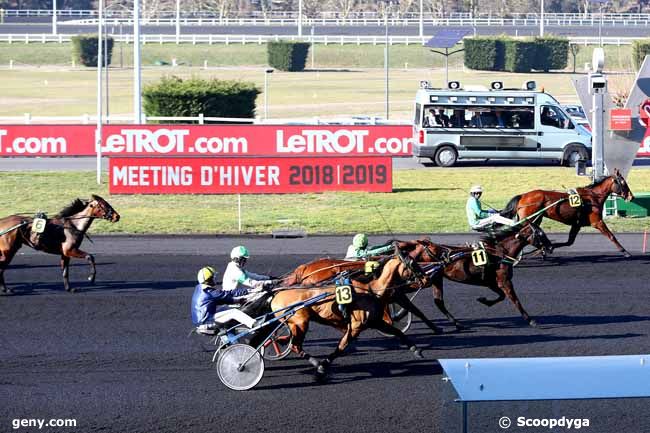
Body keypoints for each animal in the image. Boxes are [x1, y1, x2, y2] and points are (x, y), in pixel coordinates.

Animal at [270, 253, 430, 378]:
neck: (372, 291)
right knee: (295, 345)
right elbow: (341, 346)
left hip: (295, 323)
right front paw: (323, 365)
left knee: (293, 342)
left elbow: (398, 332)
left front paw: (416, 350)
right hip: (300, 321)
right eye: (413, 264)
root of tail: (276, 295)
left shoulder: (376, 322)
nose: (426, 279)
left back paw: (283, 340)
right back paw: (314, 361)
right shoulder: (356, 326)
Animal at [410, 221, 552, 326]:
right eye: (540, 233)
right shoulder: (504, 281)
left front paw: (484, 301)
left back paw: (457, 323)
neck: (499, 254)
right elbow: (515, 300)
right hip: (427, 278)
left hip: (436, 278)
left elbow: (501, 296)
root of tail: (424, 247)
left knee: (438, 301)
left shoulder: (491, 282)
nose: (550, 247)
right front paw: (530, 319)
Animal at [502, 169, 632, 256]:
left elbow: (569, 242)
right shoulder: (597, 222)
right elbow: (611, 235)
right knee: (518, 233)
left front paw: (547, 247)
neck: (592, 197)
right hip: (528, 220)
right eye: (623, 183)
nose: (631, 196)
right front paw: (625, 251)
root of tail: (523, 195)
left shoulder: (576, 225)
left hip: (536, 219)